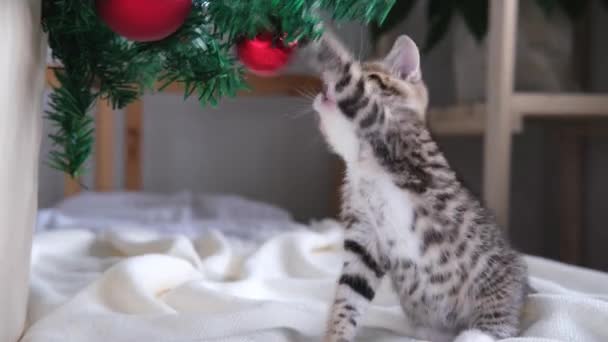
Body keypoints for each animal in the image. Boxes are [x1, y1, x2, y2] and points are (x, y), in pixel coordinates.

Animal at [308, 32, 528, 342]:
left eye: (369, 75)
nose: (324, 88)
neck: (363, 163)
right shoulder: (364, 239)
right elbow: (348, 297)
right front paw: (336, 336)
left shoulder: (387, 129)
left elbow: (353, 86)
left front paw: (319, 37)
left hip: (495, 307)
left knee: (486, 333)